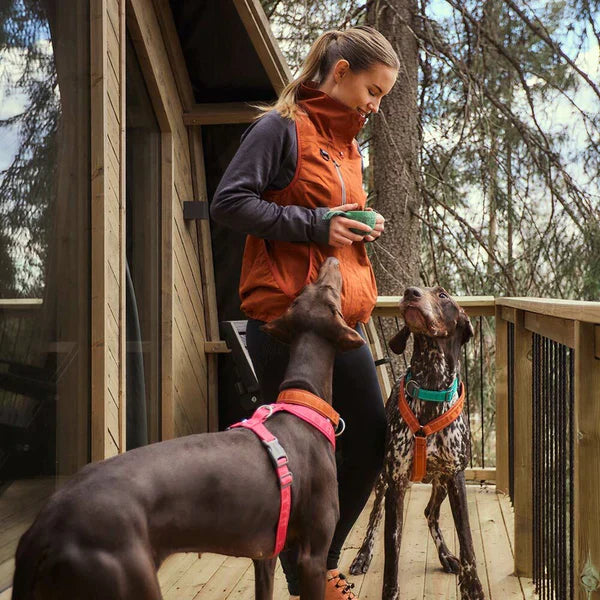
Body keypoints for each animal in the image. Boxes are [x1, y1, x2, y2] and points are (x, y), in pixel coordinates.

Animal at [11, 258, 364, 600]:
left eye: (308, 289)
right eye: (331, 293)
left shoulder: (264, 556)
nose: (332, 258)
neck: (304, 400)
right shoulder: (312, 558)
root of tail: (43, 529)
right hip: (127, 580)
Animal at [350, 286, 486, 600]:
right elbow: (391, 553)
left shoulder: (456, 478)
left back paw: (446, 555)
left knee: (430, 513)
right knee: (374, 516)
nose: (410, 292)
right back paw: (363, 555)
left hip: (441, 483)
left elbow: (468, 542)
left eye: (443, 295)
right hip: (383, 479)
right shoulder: (397, 483)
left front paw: (472, 587)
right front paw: (389, 591)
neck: (431, 387)